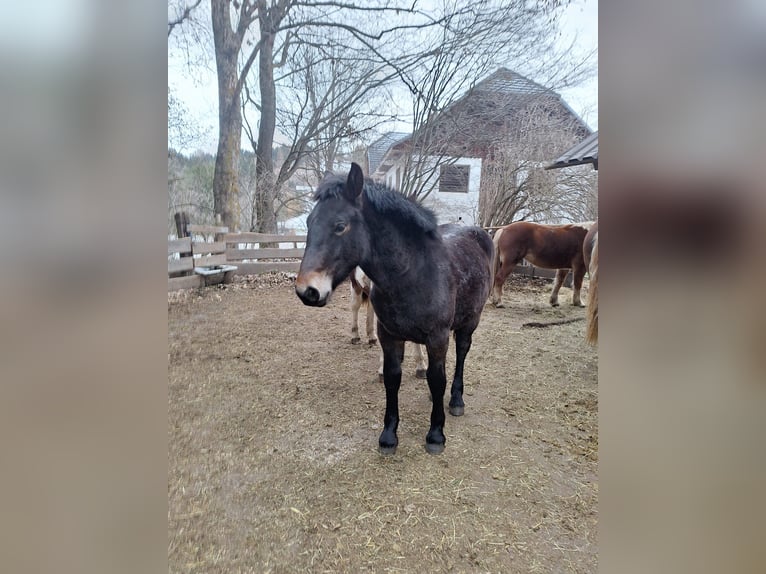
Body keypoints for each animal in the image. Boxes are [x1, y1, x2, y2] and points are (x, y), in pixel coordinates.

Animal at [296, 163, 494, 455]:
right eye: (310, 222)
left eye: (340, 226)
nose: (306, 291)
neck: (413, 273)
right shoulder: (389, 335)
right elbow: (393, 378)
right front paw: (389, 435)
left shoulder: (437, 336)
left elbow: (438, 378)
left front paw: (436, 434)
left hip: (470, 321)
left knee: (461, 353)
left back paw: (456, 400)